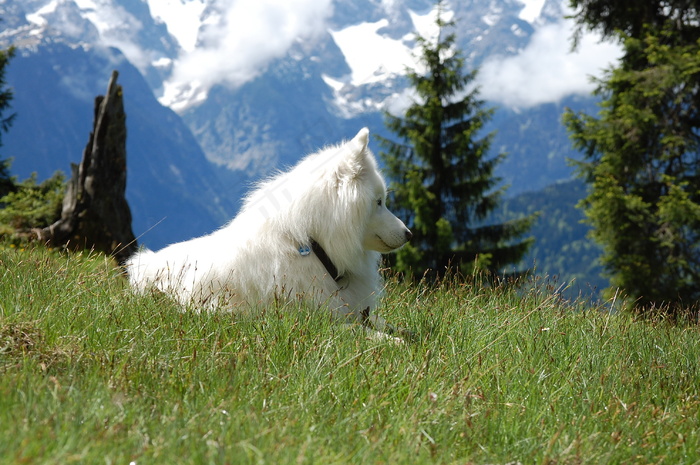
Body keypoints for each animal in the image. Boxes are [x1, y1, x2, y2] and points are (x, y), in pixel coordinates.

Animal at [125, 128, 410, 334]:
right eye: (379, 202)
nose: (410, 234)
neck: (312, 245)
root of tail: (144, 263)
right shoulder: (315, 320)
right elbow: (360, 331)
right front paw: (392, 341)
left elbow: (386, 324)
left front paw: (407, 333)